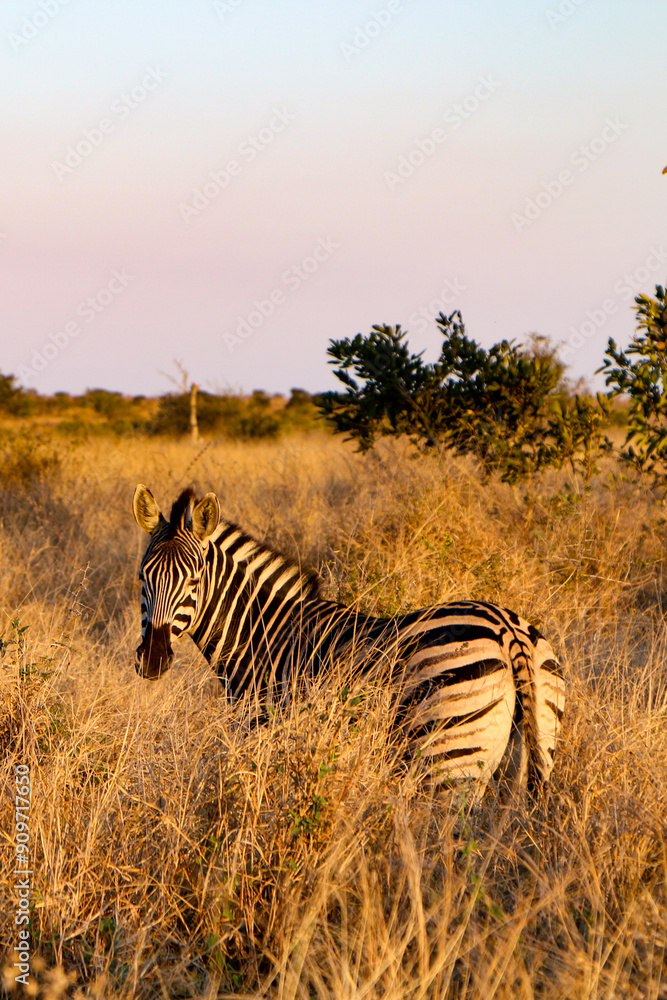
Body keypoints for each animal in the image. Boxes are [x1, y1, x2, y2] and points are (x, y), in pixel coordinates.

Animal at [132, 484, 565, 793]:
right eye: (143, 578)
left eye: (194, 581)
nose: (153, 660)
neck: (262, 634)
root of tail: (508, 631)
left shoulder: (267, 729)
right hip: (529, 750)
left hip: (449, 759)